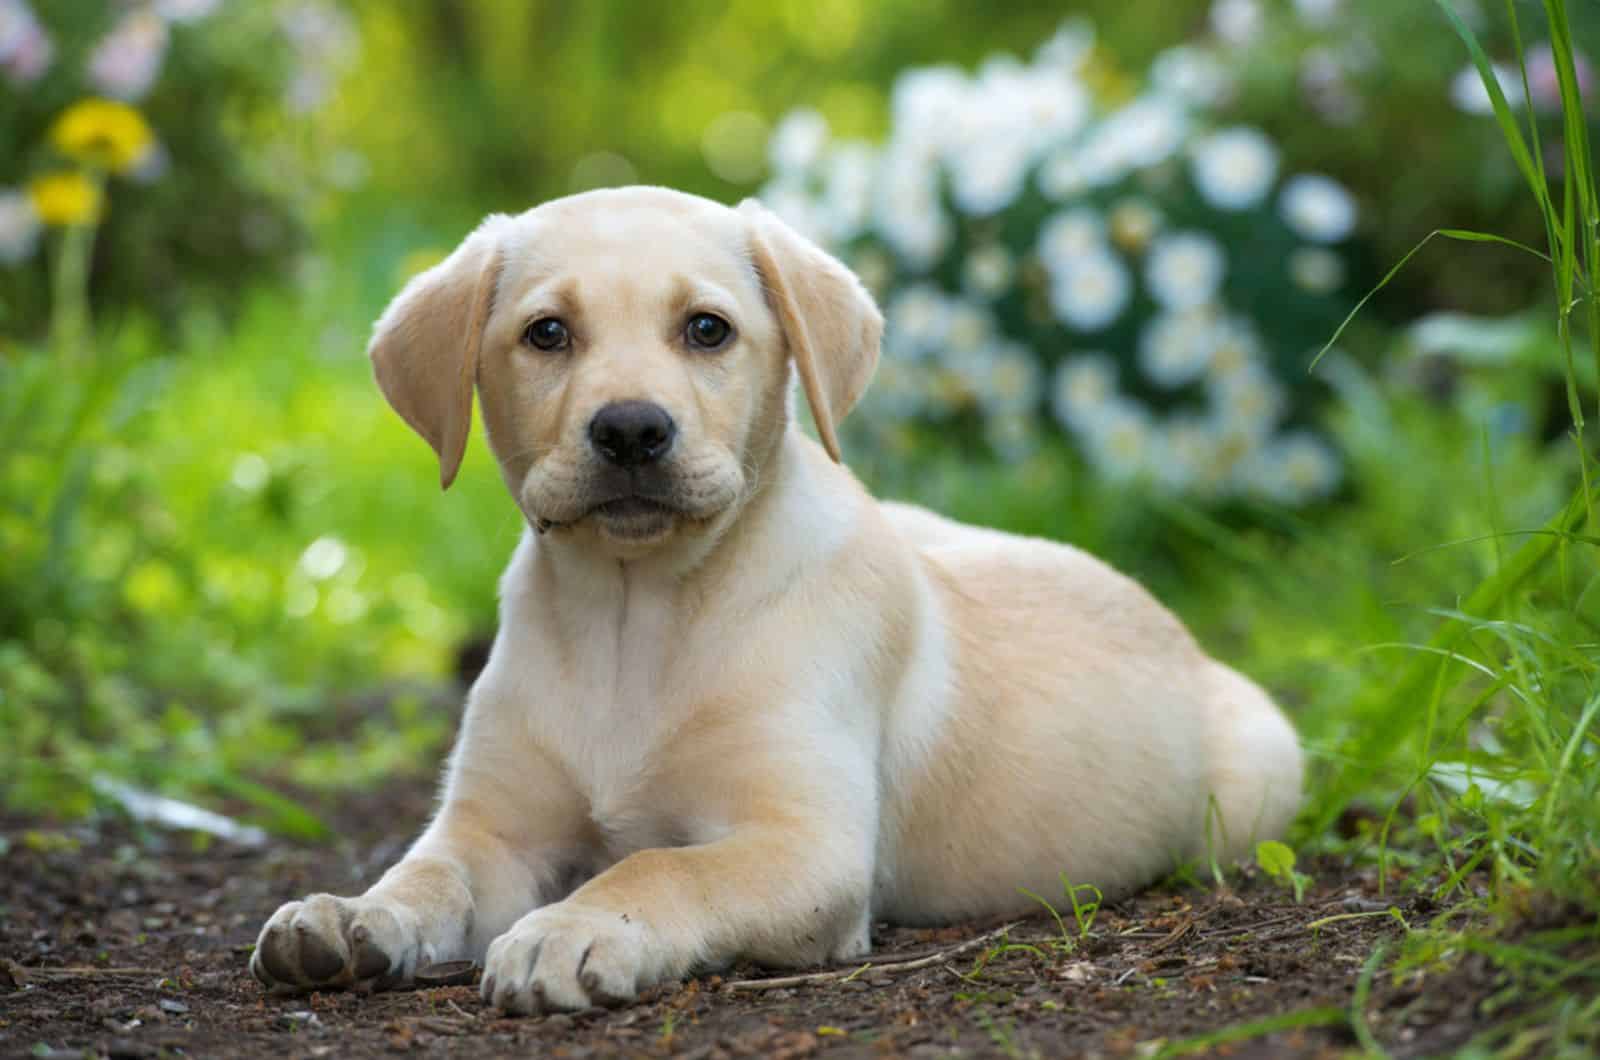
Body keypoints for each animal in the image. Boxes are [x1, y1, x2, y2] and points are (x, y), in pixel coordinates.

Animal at [249, 186, 1299, 1018]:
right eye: (547, 333)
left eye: (706, 328)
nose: (630, 431)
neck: (635, 616)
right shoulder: (494, 831)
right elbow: (428, 871)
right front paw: (351, 914)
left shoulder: (805, 845)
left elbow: (661, 865)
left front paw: (574, 930)